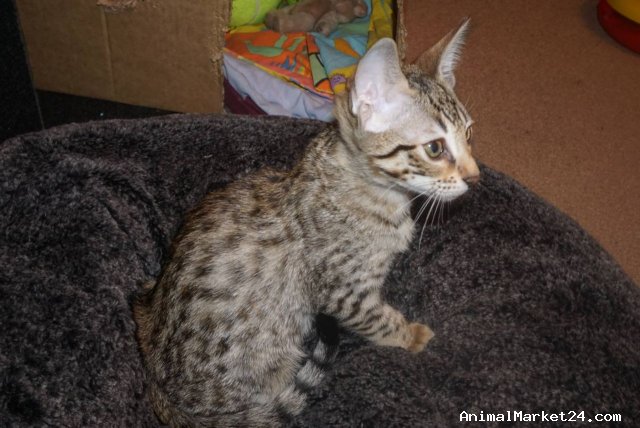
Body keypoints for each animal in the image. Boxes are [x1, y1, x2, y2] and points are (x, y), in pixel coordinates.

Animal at [134, 19, 478, 428]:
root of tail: (159, 390)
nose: (475, 176)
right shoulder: (344, 291)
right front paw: (410, 334)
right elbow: (376, 317)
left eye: (469, 134)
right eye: (435, 149)